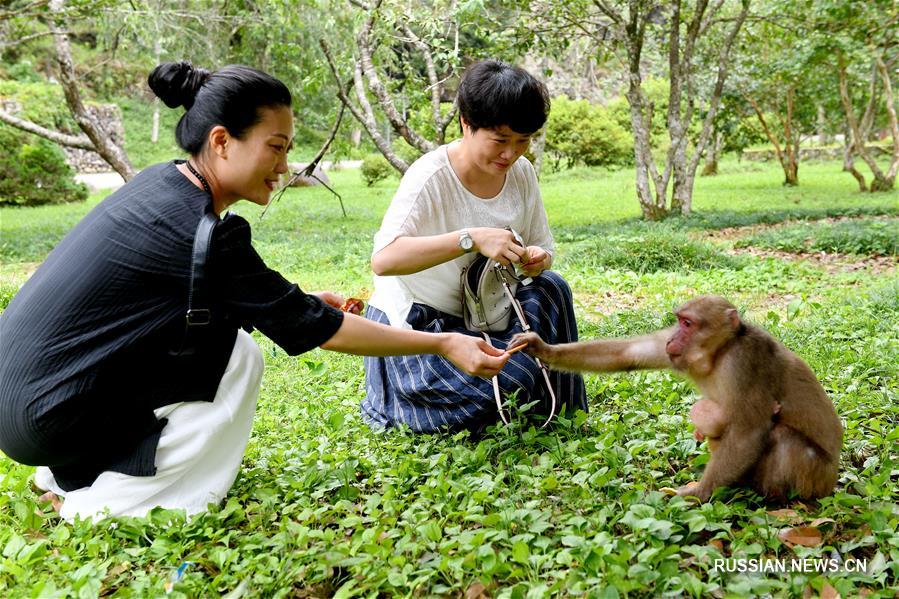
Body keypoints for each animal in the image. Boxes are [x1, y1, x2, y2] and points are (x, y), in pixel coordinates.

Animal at [512, 296, 844, 502]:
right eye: (679, 321)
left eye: (688, 324)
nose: (673, 338)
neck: (719, 354)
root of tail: (832, 480)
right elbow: (627, 353)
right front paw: (541, 348)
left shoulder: (747, 360)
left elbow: (749, 430)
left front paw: (699, 494)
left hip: (816, 477)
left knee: (781, 435)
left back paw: (771, 500)